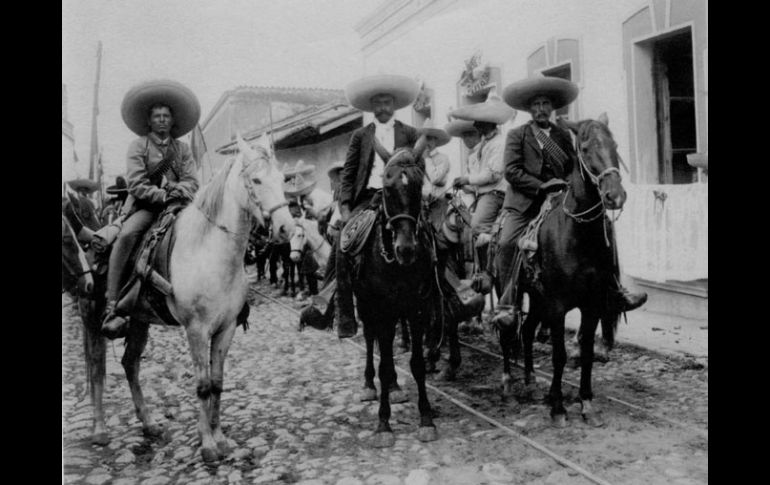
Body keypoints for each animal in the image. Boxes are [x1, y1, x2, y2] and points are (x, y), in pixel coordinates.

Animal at [510, 112, 624, 424]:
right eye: (584, 148)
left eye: (615, 146)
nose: (615, 196)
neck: (578, 235)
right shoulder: (558, 305)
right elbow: (559, 354)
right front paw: (558, 407)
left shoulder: (593, 303)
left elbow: (585, 352)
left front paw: (586, 402)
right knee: (511, 331)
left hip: (538, 298)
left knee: (527, 331)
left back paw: (530, 380)